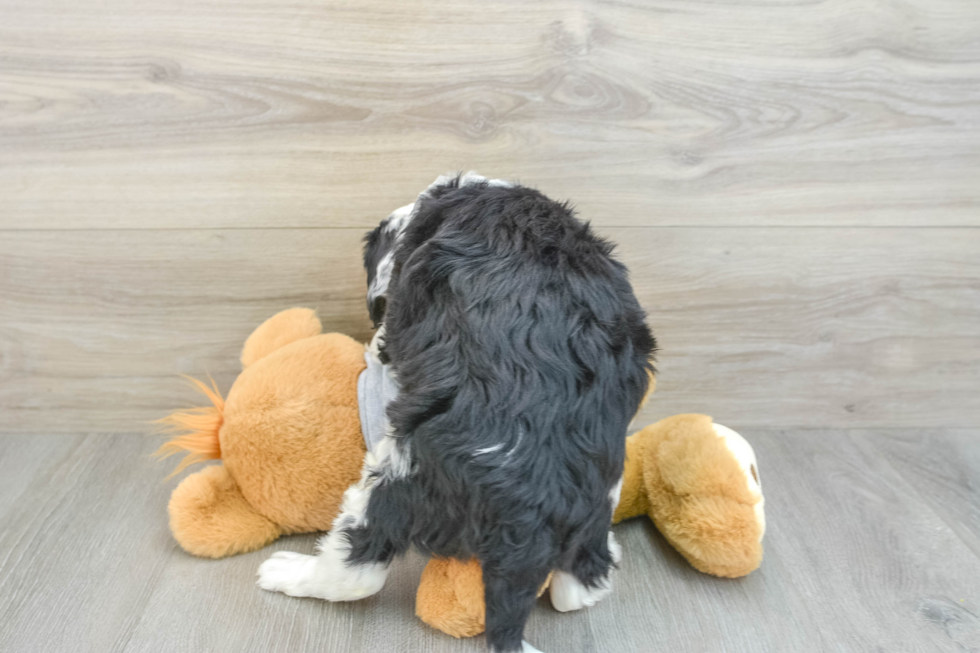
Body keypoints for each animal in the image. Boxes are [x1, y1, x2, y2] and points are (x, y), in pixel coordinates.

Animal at [260, 171, 660, 648]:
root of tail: (529, 521)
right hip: (598, 499)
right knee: (579, 584)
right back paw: (597, 568)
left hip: (394, 476)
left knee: (358, 567)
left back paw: (288, 572)